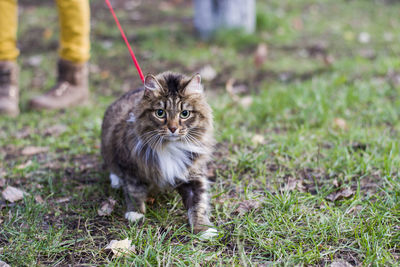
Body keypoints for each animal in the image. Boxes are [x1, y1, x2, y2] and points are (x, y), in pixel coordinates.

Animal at [101, 71, 217, 239]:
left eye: (185, 114)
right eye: (160, 113)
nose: (173, 128)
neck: (170, 147)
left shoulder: (192, 175)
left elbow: (198, 204)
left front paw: (203, 229)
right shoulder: (129, 167)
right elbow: (134, 191)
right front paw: (135, 214)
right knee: (113, 169)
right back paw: (116, 181)